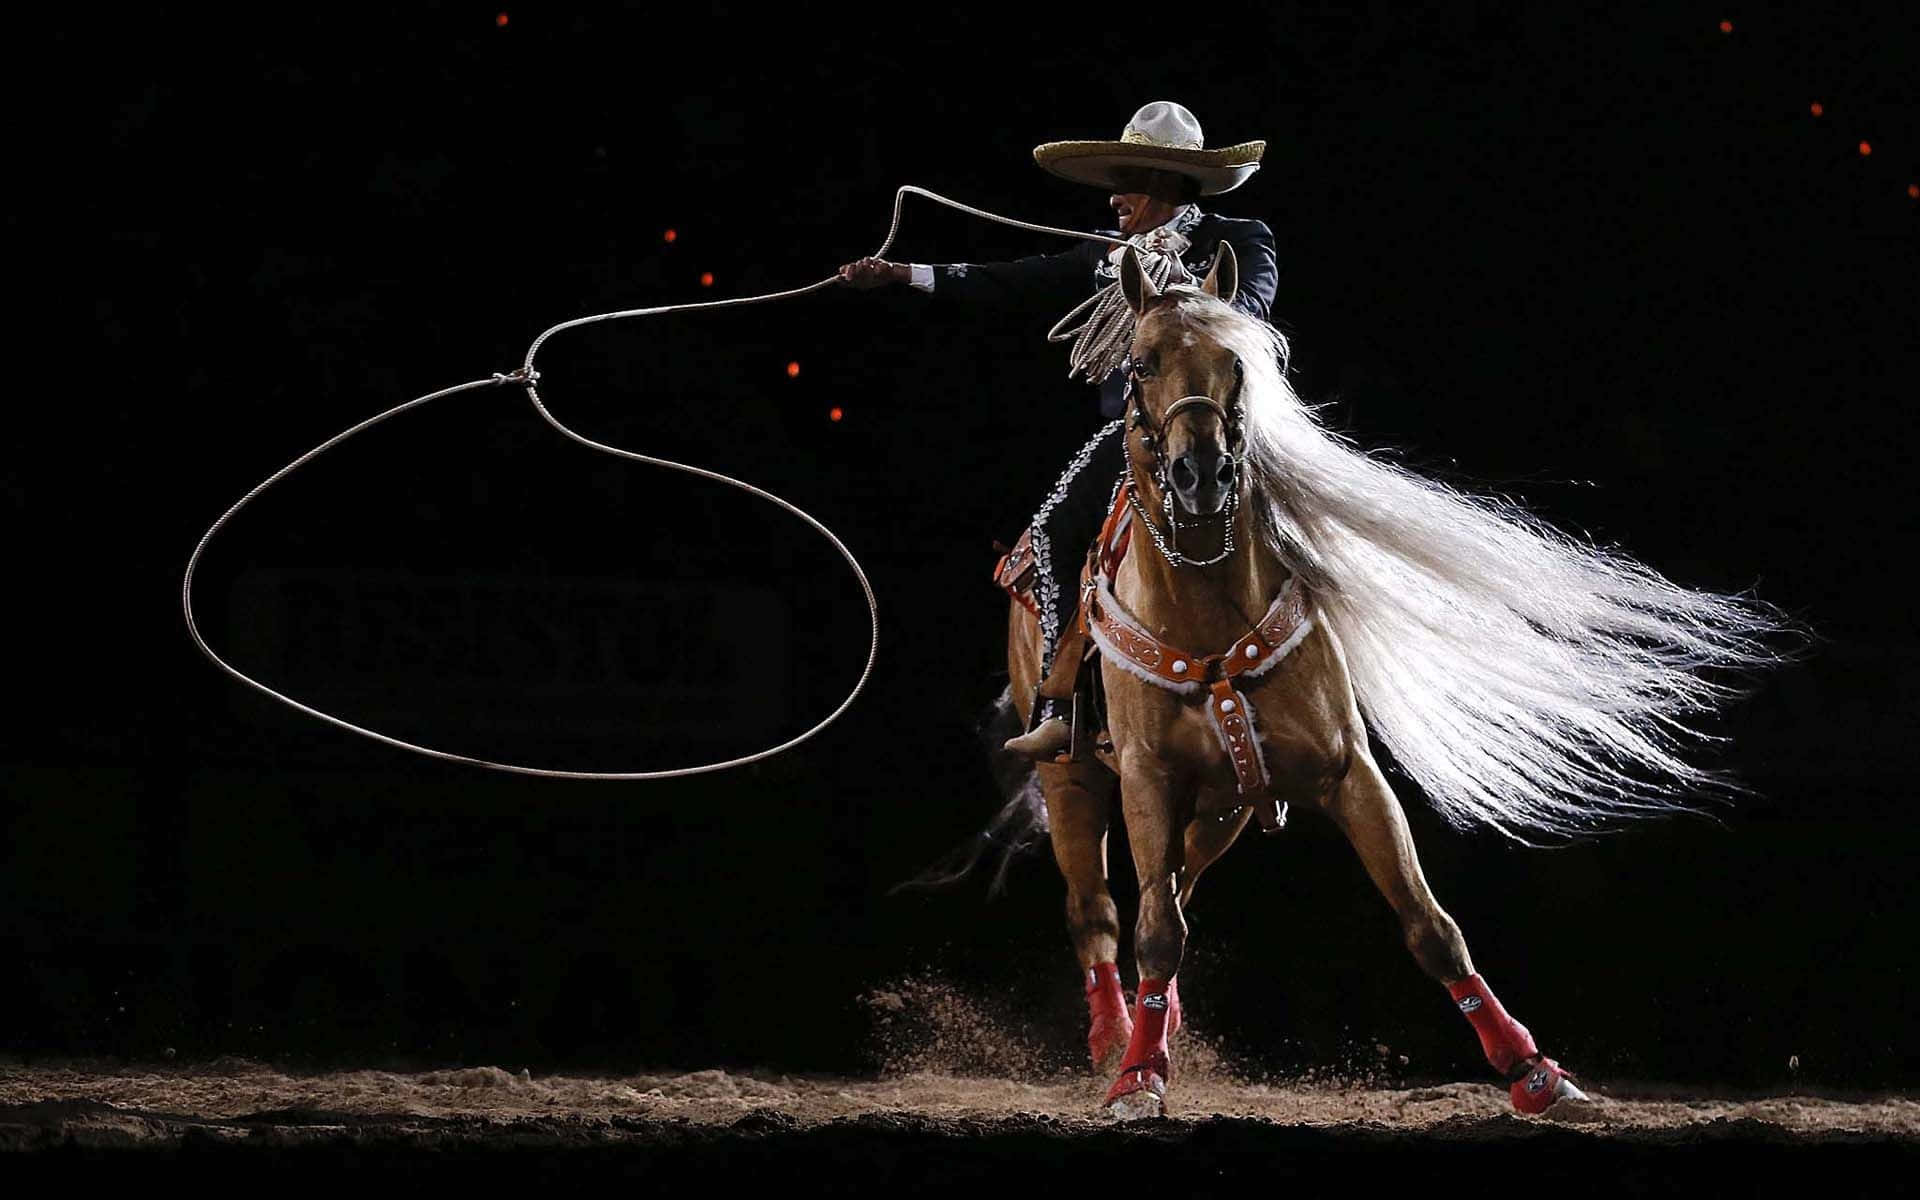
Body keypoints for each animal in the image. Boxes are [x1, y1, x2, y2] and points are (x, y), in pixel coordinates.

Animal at [998, 240, 1597, 1113]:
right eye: (1141, 364)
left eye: (1237, 362)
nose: (1202, 474)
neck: (1205, 613)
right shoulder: (1147, 778)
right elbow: (1154, 931)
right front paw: (1138, 1078)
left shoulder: (1349, 774)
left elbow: (1430, 926)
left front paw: (1531, 1071)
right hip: (1072, 774)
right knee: (1101, 910)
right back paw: (1115, 1038)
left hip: (1221, 808)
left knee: (1177, 887)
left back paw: (1160, 1024)